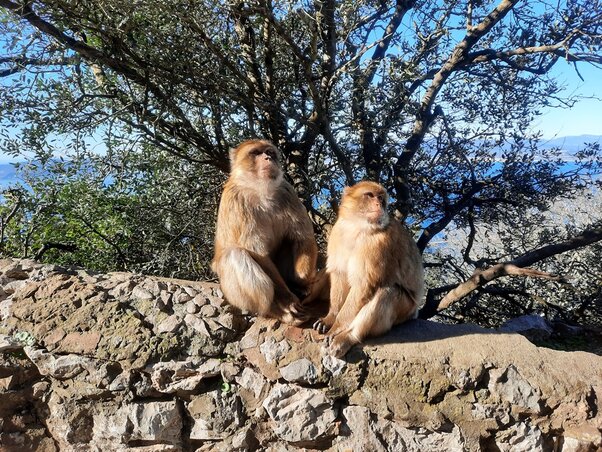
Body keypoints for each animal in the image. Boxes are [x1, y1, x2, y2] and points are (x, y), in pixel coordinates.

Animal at [211, 139, 316, 324]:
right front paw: (288, 300)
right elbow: (258, 254)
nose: (268, 158)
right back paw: (276, 311)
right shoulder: (237, 200)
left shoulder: (287, 191)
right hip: (232, 294)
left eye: (269, 152)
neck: (259, 190)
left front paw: (302, 282)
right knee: (234, 254)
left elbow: (302, 237)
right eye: (255, 153)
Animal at [314, 180, 422, 356]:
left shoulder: (379, 244)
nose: (379, 204)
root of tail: (414, 312)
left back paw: (348, 337)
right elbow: (339, 275)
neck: (356, 226)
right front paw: (330, 317)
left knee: (387, 292)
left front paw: (336, 327)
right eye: (370, 195)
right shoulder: (338, 232)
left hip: (405, 310)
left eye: (381, 198)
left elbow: (362, 284)